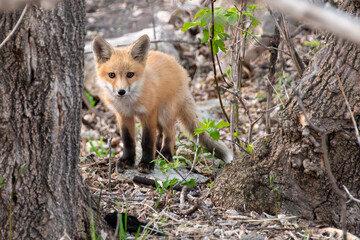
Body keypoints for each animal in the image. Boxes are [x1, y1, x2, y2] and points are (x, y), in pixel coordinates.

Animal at [93, 34, 233, 172]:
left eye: (130, 74)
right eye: (112, 75)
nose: (121, 91)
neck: (129, 103)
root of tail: (178, 65)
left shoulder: (149, 113)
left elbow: (147, 141)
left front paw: (146, 163)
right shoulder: (123, 115)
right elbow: (128, 140)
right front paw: (127, 160)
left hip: (165, 112)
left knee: (170, 132)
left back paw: (166, 154)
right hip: (158, 115)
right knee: (160, 132)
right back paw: (158, 152)